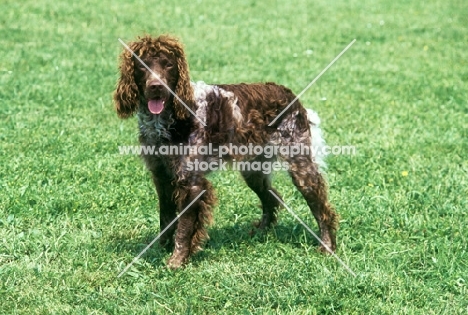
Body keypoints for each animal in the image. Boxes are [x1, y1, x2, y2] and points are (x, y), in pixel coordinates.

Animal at [114, 35, 338, 270]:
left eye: (168, 65)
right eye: (142, 65)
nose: (156, 86)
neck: (167, 119)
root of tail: (290, 95)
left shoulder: (191, 182)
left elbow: (184, 228)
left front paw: (177, 261)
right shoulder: (161, 176)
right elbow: (165, 217)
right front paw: (160, 249)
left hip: (300, 166)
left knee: (322, 209)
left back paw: (327, 247)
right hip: (253, 171)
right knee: (272, 197)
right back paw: (261, 232)